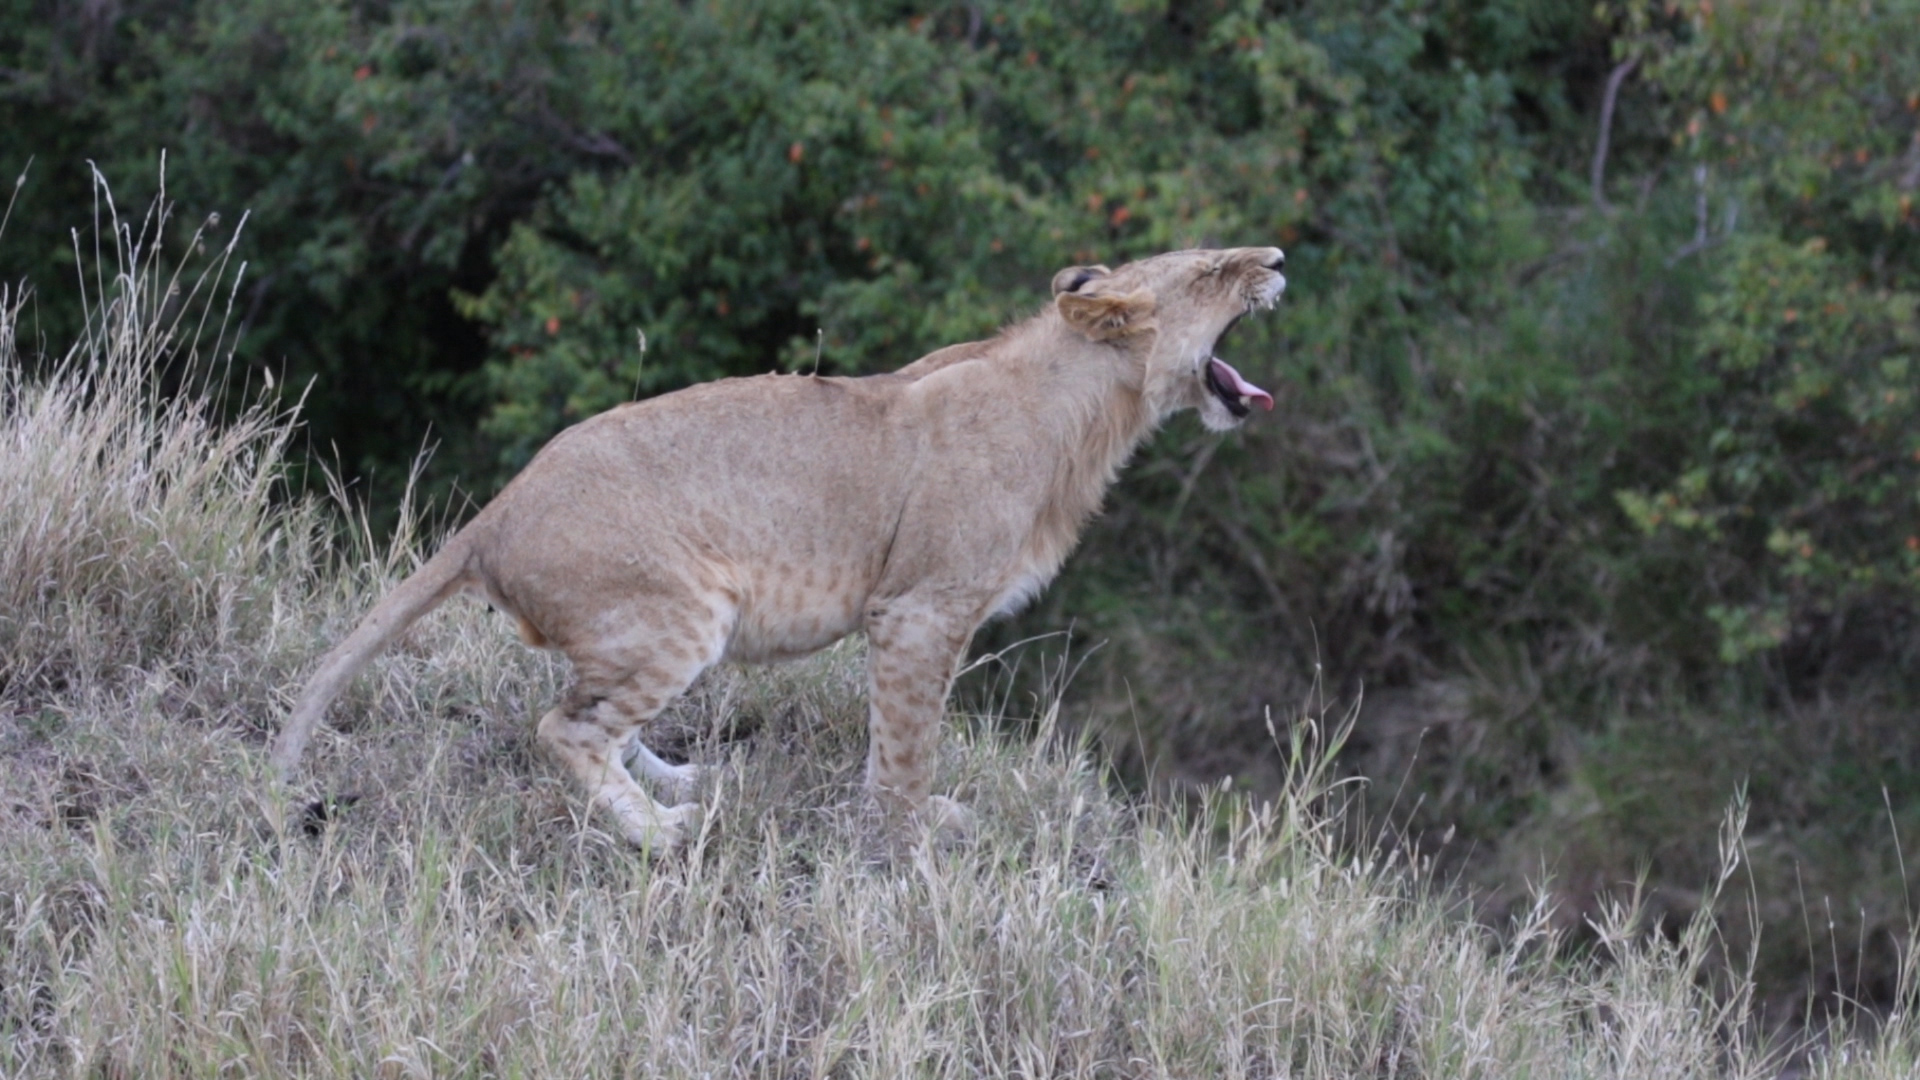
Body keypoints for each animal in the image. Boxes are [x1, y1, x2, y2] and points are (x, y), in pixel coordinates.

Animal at [270, 245, 1282, 849]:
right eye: (1210, 271)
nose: (1276, 257)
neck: (1092, 411)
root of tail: (491, 517)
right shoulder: (920, 610)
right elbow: (909, 740)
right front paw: (910, 832)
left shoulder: (911, 618)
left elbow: (889, 735)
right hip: (684, 611)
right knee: (564, 727)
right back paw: (663, 829)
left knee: (591, 713)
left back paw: (682, 774)